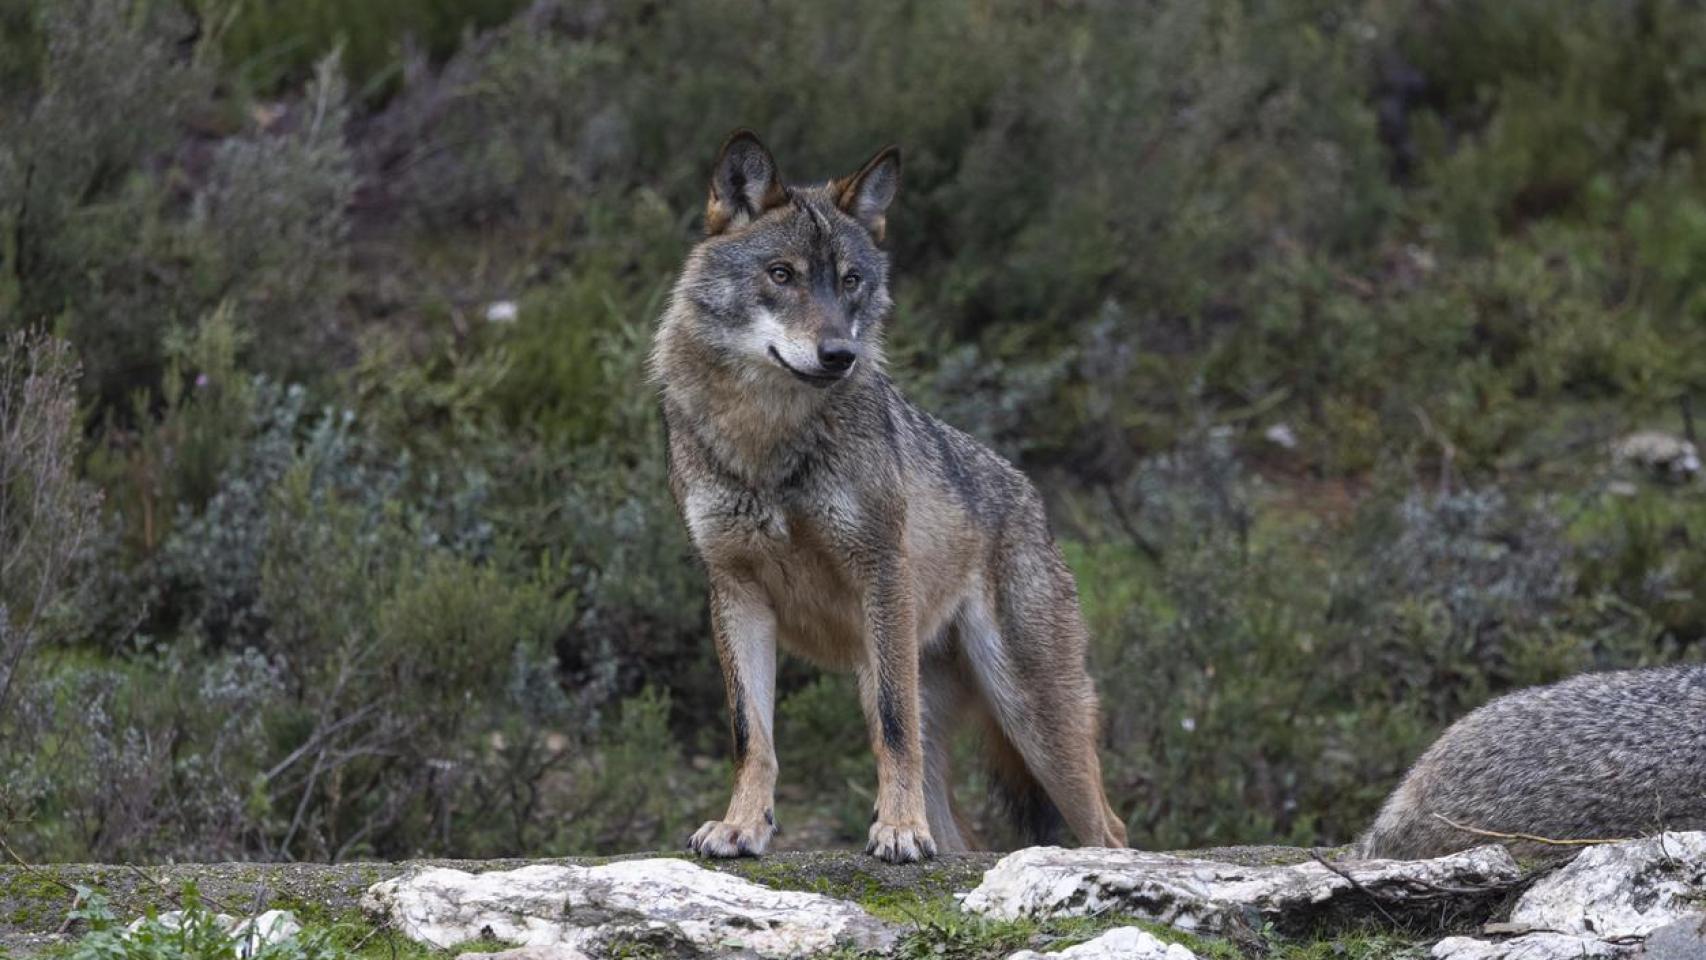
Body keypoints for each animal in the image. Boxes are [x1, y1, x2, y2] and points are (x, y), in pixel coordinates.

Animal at [649, 130, 1128, 862]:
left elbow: (894, 731)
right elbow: (751, 734)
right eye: (781, 274)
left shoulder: (880, 573)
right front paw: (742, 825)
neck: (766, 439)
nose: (838, 355)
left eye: (850, 280)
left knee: (1110, 828)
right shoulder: (735, 591)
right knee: (961, 836)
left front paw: (898, 830)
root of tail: (1030, 496)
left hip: (1032, 719)